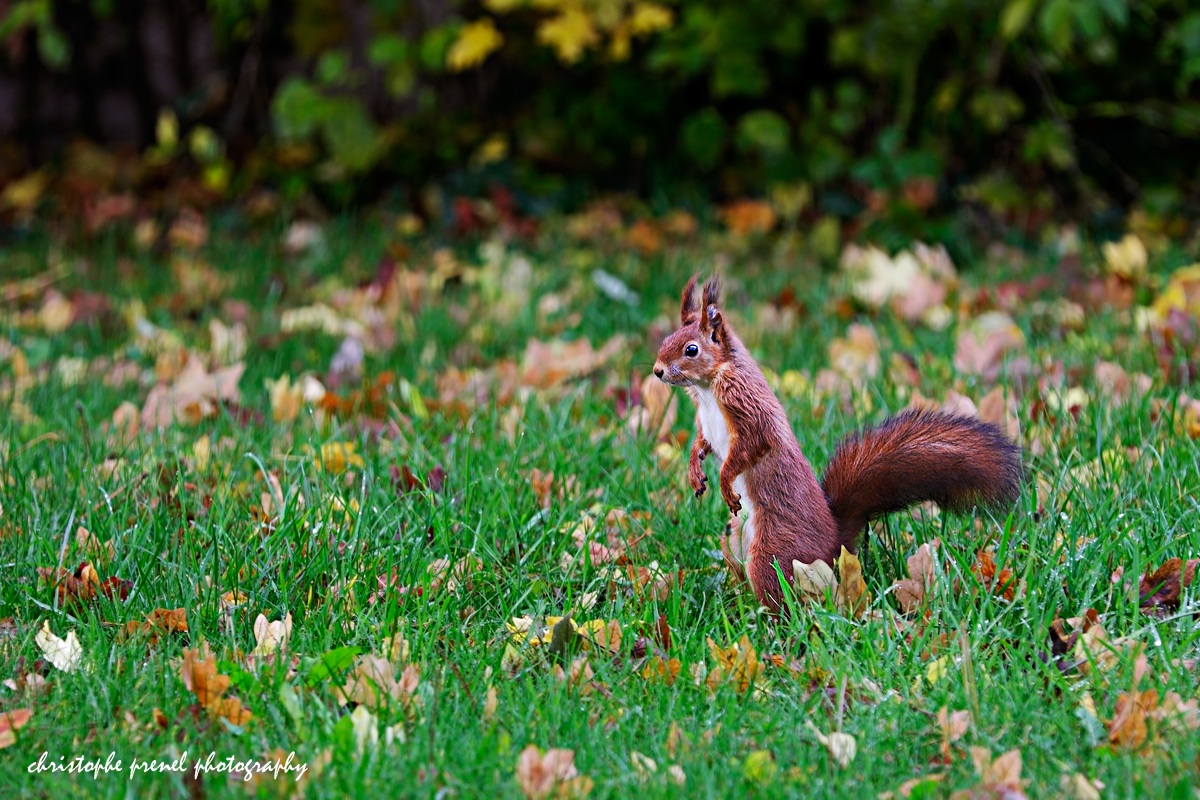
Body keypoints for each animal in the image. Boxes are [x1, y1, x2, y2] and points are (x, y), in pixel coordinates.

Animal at [652, 276, 1024, 613]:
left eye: (691, 349)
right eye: (668, 338)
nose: (657, 371)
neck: (708, 387)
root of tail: (835, 544)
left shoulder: (749, 411)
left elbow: (749, 448)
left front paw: (725, 481)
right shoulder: (707, 421)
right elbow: (703, 443)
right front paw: (694, 468)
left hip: (772, 551)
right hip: (733, 540)